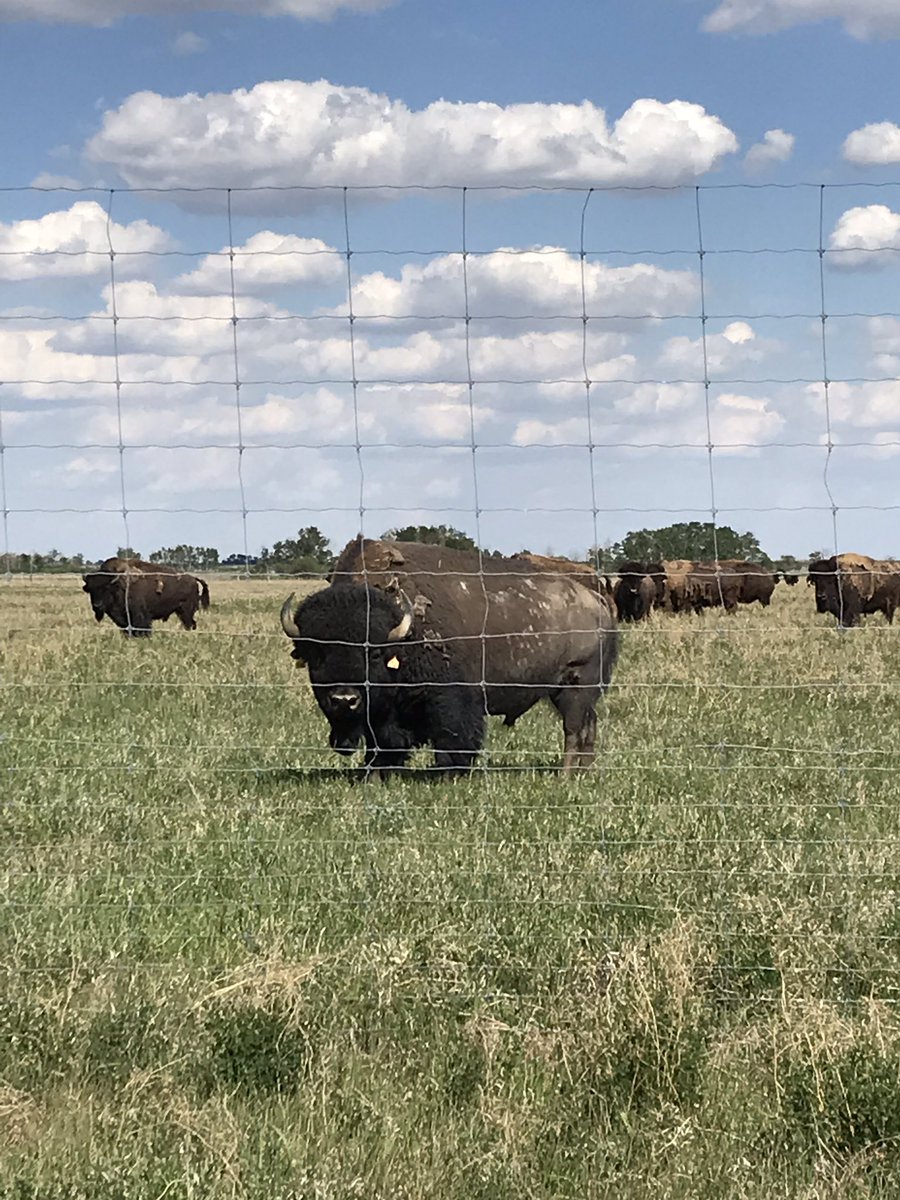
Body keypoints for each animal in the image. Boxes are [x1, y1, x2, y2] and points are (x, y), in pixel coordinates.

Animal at [300, 536, 619, 772]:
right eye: (316, 654)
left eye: (373, 654)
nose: (344, 700)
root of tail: (598, 602)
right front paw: (375, 774)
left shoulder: (452, 699)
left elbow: (452, 737)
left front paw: (447, 773)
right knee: (588, 726)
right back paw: (583, 772)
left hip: (575, 685)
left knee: (573, 729)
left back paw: (566, 775)